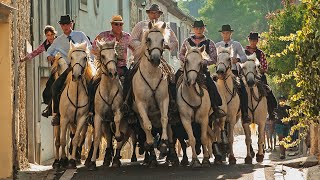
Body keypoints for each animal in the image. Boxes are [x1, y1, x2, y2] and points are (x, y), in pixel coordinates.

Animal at [58, 41, 94, 169]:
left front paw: (73, 160)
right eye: (72, 57)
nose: (76, 76)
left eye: (85, 58)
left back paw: (78, 157)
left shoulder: (82, 119)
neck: (76, 93)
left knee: (80, 137)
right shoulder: (64, 119)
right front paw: (63, 160)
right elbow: (63, 140)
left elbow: (76, 139)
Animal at [131, 21, 170, 167]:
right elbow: (147, 125)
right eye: (148, 39)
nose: (155, 59)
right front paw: (149, 143)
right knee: (145, 125)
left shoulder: (164, 100)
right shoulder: (141, 104)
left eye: (163, 40)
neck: (152, 75)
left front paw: (163, 142)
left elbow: (164, 119)